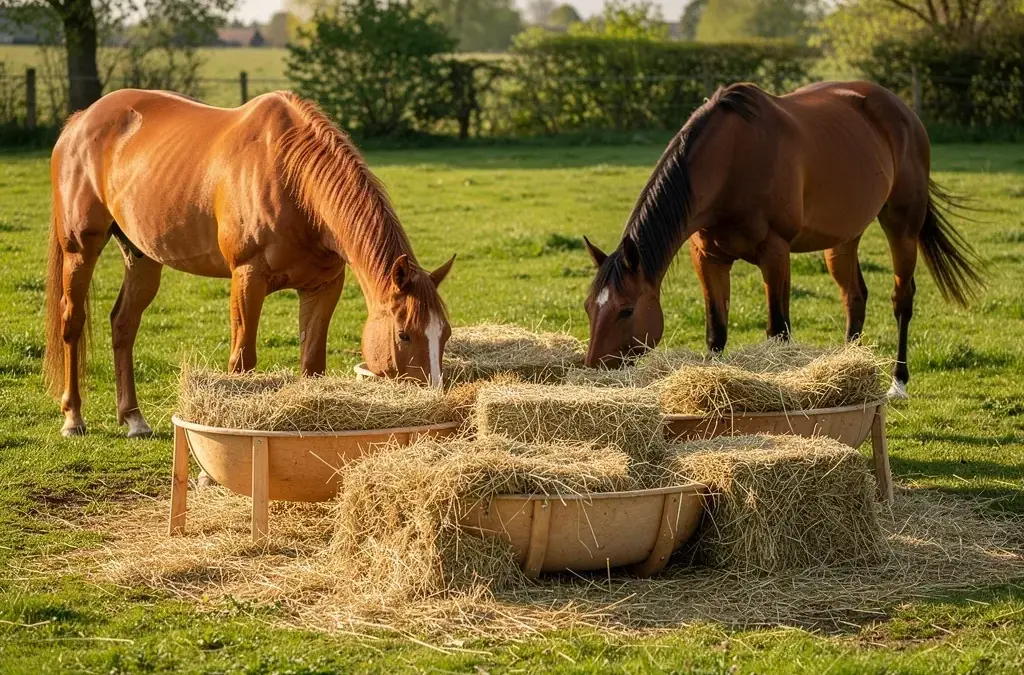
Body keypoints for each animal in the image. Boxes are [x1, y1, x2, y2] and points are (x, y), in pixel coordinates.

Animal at [44, 89, 455, 438]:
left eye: (446, 334)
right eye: (403, 334)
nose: (433, 397)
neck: (292, 176)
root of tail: (80, 120)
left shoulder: (322, 287)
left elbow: (312, 365)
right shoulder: (247, 279)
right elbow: (242, 362)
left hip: (142, 257)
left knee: (123, 324)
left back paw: (133, 418)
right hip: (80, 250)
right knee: (72, 322)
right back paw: (73, 418)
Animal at [582, 81, 983, 398]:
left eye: (626, 310)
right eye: (588, 307)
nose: (594, 370)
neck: (731, 159)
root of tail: (902, 111)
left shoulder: (775, 254)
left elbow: (779, 330)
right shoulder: (708, 258)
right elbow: (716, 331)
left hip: (902, 225)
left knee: (902, 299)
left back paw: (897, 384)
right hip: (843, 237)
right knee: (854, 297)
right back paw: (851, 368)